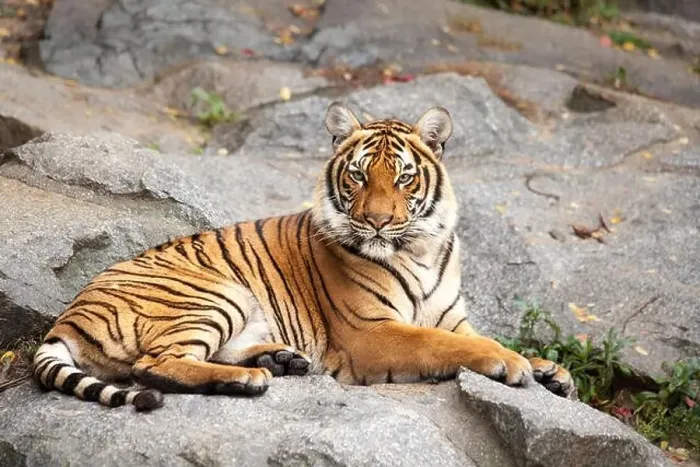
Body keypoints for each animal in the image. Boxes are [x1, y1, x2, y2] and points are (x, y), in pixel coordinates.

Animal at [32, 102, 574, 411]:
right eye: (358, 175)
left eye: (403, 178)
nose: (378, 221)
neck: (418, 247)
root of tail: (67, 317)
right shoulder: (371, 334)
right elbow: (445, 344)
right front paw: (509, 362)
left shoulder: (452, 317)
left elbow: (469, 336)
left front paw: (551, 370)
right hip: (213, 294)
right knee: (153, 364)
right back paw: (247, 378)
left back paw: (280, 359)